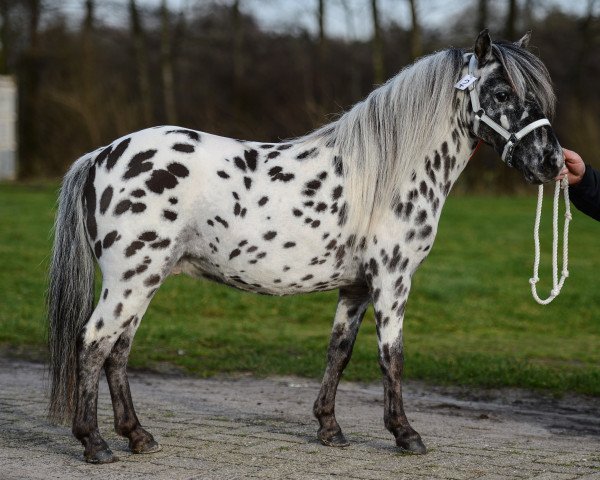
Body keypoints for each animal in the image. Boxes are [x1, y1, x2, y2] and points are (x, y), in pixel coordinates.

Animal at [47, 31, 564, 464]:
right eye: (502, 94)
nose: (552, 162)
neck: (387, 173)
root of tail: (102, 156)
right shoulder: (392, 279)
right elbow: (392, 356)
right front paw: (406, 434)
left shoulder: (356, 287)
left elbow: (340, 351)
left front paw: (330, 429)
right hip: (132, 279)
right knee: (93, 343)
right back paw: (95, 444)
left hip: (142, 281)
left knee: (117, 350)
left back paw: (137, 437)